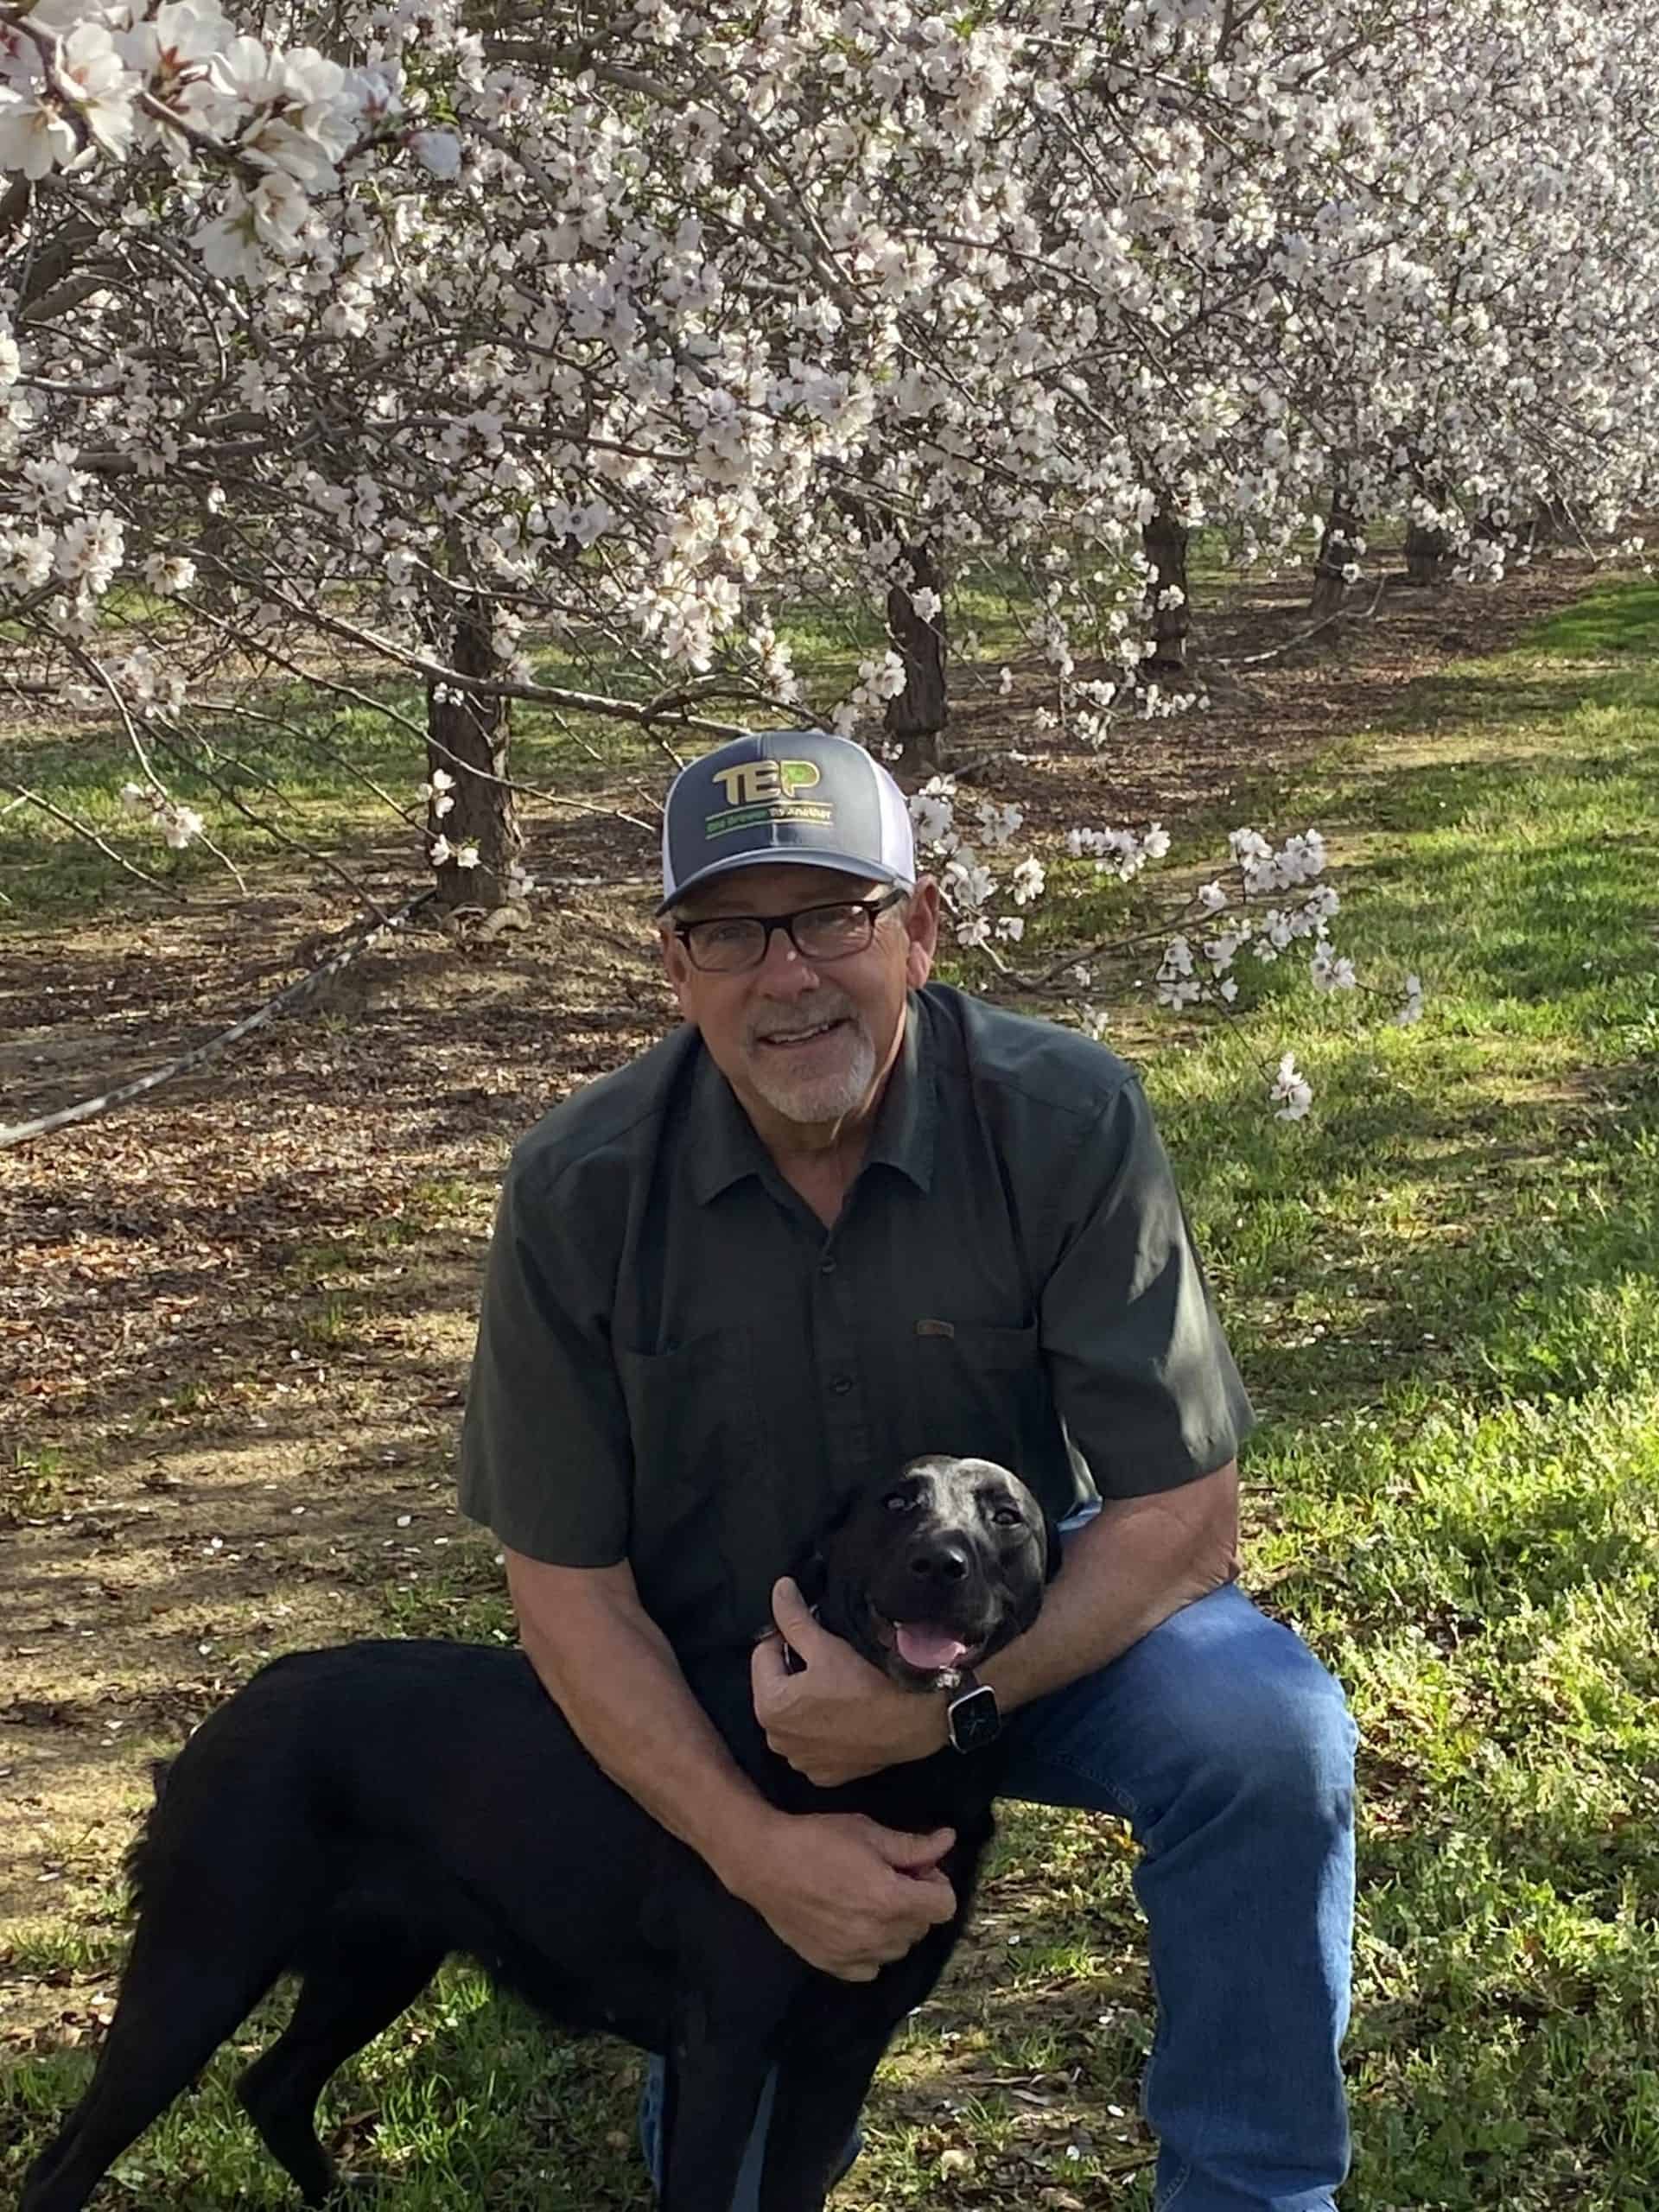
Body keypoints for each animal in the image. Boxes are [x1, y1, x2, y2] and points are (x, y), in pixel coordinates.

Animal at [22, 1451, 1065, 2212]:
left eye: (1005, 1515)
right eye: (895, 1502)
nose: (941, 1562)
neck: (882, 1780)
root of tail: (222, 1718)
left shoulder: (841, 2055)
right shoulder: (724, 2049)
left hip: (375, 1963)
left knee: (271, 2087)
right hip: (199, 1971)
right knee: (62, 2165)